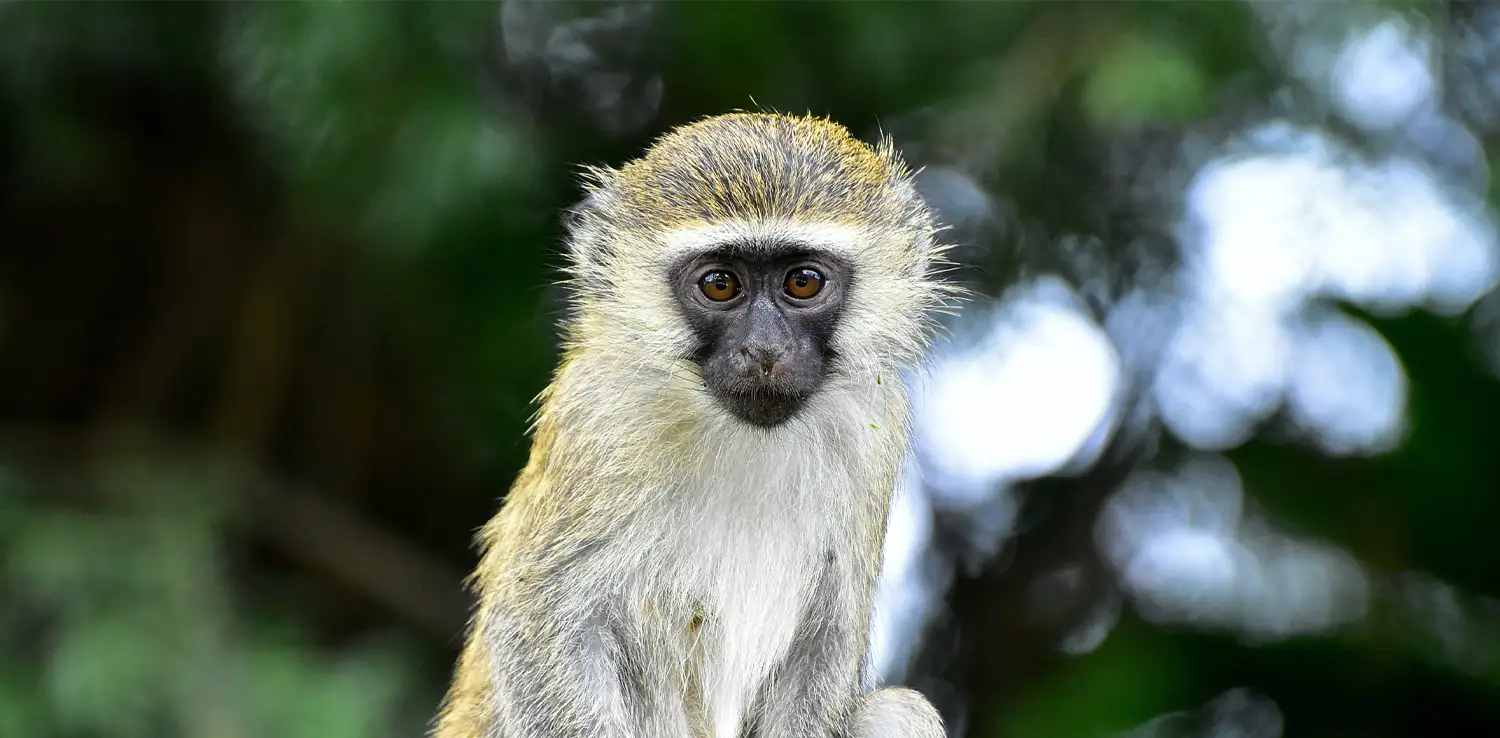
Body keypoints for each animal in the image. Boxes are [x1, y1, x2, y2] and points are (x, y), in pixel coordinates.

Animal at [435, 111, 948, 738]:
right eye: (720, 284)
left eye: (802, 281)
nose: (763, 350)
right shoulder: (600, 414)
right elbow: (537, 621)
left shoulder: (876, 424)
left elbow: (824, 645)